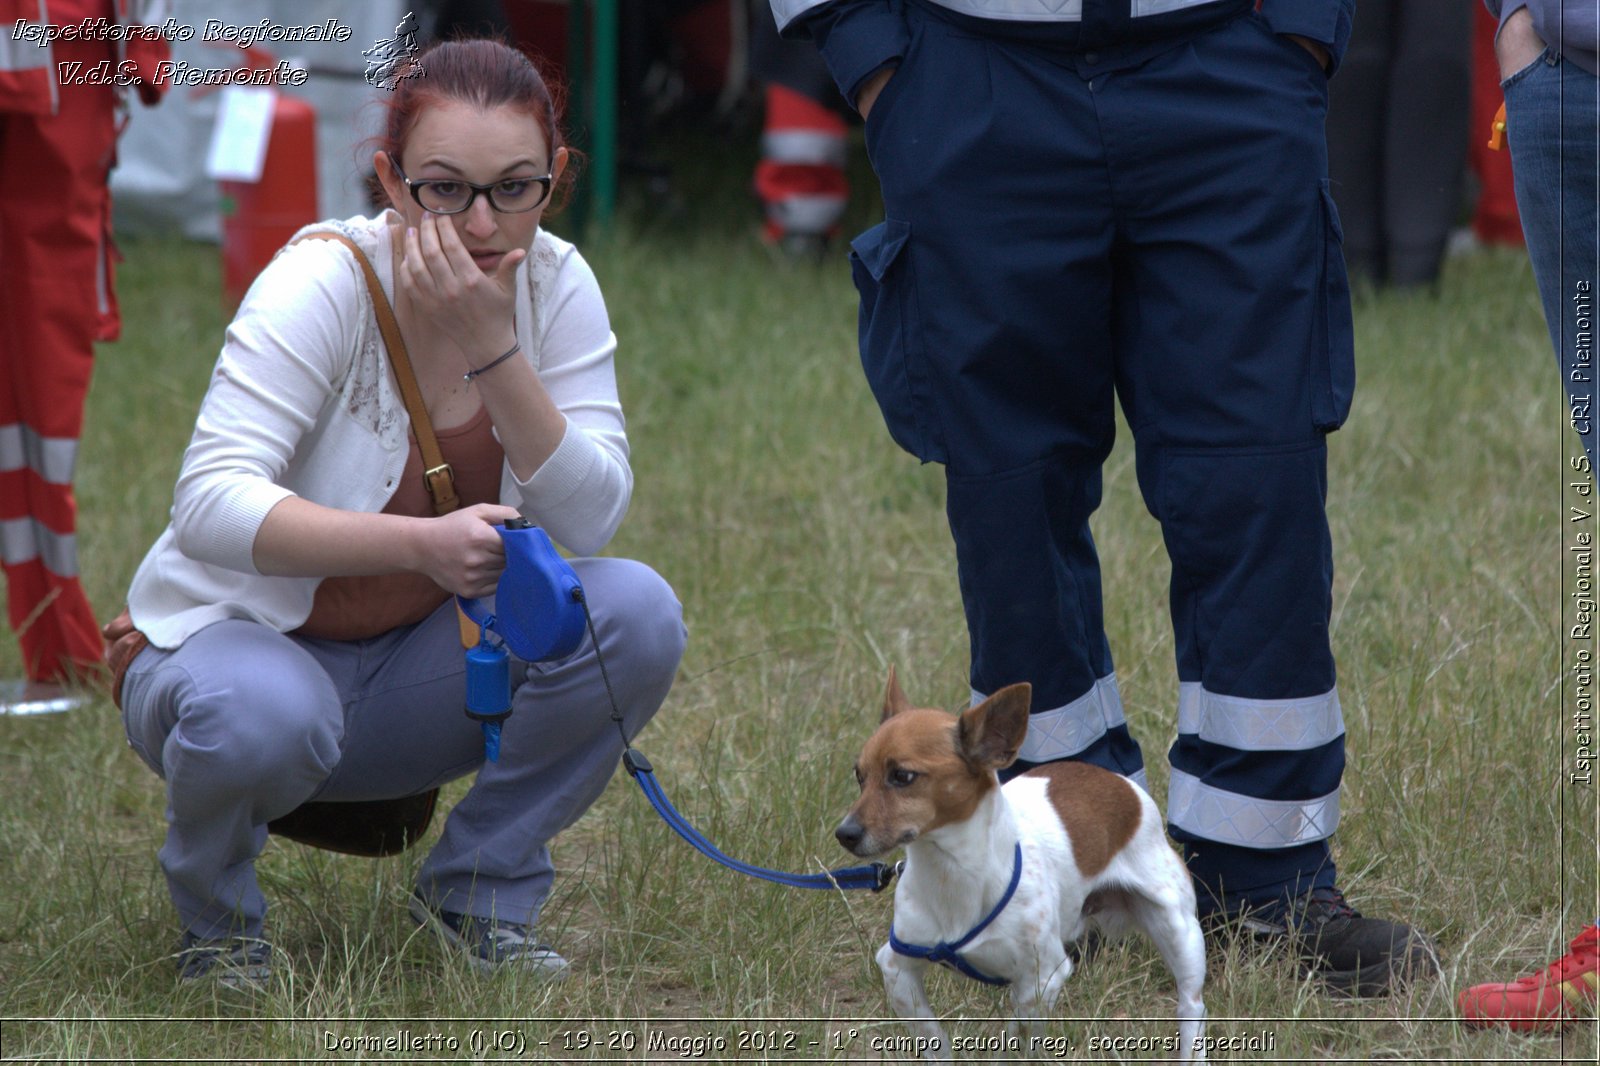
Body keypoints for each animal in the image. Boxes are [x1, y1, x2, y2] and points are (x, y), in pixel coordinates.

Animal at [838, 669, 1203, 1056]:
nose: (844, 833)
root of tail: (1118, 782)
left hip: (1178, 929)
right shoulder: (898, 969)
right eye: (859, 776)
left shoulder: (1042, 978)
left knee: (1191, 1006)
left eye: (902, 777)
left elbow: (1020, 1036)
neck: (952, 872)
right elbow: (935, 1040)